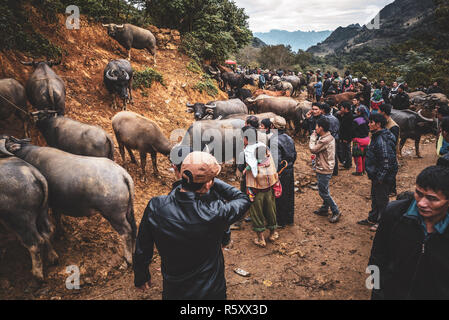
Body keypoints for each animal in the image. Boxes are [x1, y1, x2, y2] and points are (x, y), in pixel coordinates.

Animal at [0, 139, 57, 278]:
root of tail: (35, 175)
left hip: (21, 220)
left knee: (35, 243)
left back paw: (37, 275)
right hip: (43, 211)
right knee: (48, 231)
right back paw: (53, 257)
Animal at [3, 138, 136, 264]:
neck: (26, 153)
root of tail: (123, 175)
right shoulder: (55, 204)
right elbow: (57, 217)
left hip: (114, 215)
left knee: (126, 231)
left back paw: (128, 258)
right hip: (127, 212)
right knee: (133, 227)